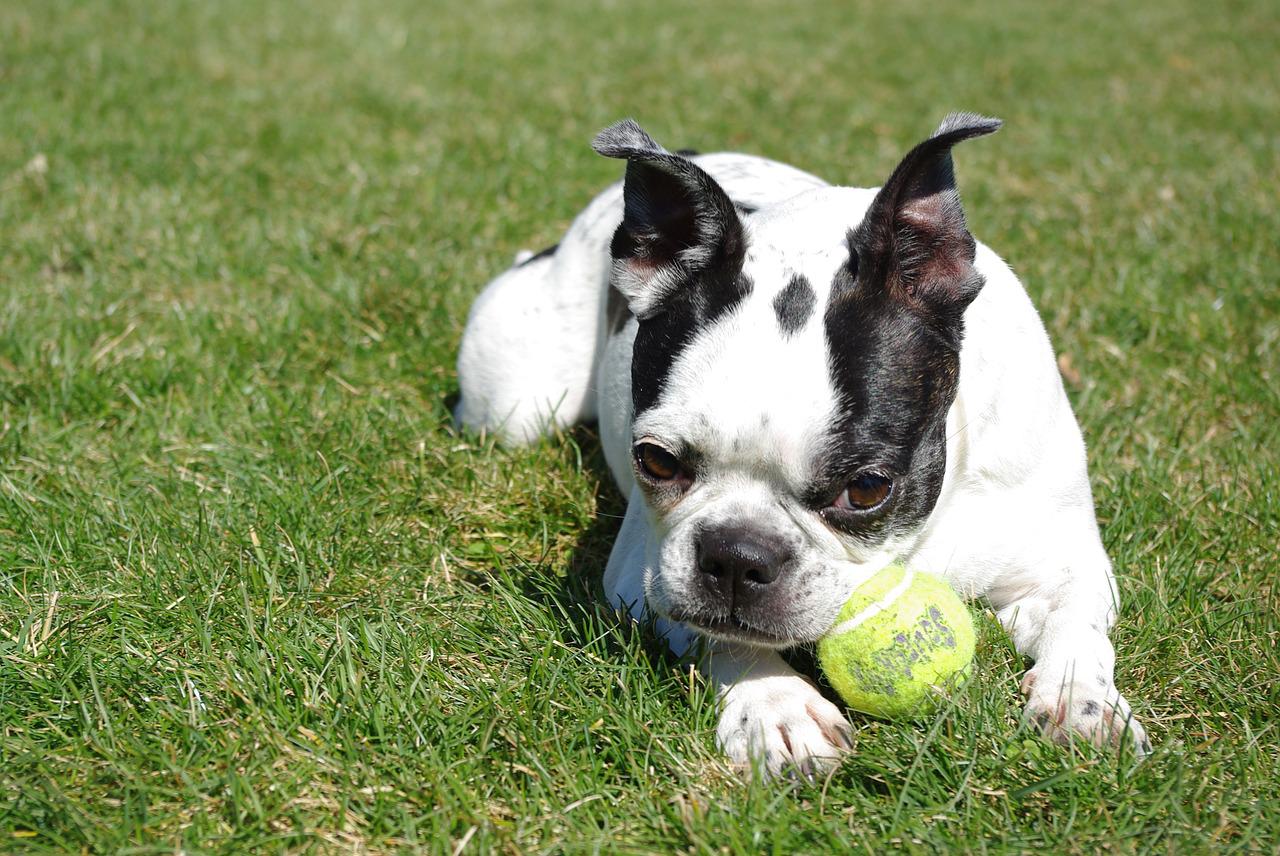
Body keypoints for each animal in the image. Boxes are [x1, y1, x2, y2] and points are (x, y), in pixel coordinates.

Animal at [458, 117, 1152, 777]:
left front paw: (1081, 703)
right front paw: (777, 705)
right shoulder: (643, 576)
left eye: (867, 488)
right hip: (515, 406)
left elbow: (1077, 626)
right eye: (655, 460)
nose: (736, 555)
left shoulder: (1067, 563)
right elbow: (723, 634)